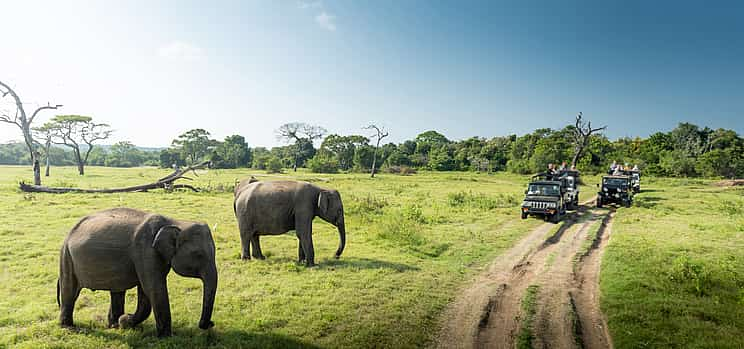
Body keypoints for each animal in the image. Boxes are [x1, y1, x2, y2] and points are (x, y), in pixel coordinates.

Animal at [56, 208, 217, 336]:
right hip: (66, 257)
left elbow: (145, 290)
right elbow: (153, 288)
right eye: (198, 255)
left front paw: (124, 321)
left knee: (117, 290)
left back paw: (113, 324)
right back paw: (69, 328)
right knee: (70, 290)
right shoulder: (145, 251)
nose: (211, 324)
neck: (174, 221)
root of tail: (69, 233)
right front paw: (166, 337)